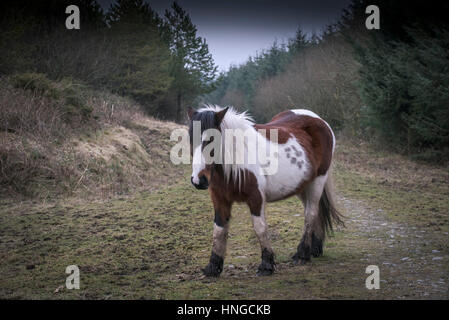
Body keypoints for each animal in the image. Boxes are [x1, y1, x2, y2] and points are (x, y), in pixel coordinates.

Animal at [187, 106, 342, 276]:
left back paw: (302, 254)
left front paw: (266, 264)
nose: (198, 180)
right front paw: (213, 267)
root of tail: (320, 120)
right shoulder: (220, 199)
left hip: (318, 181)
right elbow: (219, 230)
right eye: (190, 139)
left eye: (212, 139)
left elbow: (260, 228)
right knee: (316, 212)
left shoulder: (256, 198)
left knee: (311, 214)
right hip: (303, 186)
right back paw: (314, 249)